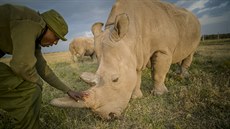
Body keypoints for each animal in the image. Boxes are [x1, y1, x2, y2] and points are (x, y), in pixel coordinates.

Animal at [51, 0, 200, 119]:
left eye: (116, 79)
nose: (107, 116)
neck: (130, 35)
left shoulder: (163, 49)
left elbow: (158, 73)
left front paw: (159, 94)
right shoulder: (134, 54)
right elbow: (136, 76)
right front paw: (136, 97)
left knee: (191, 51)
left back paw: (183, 76)